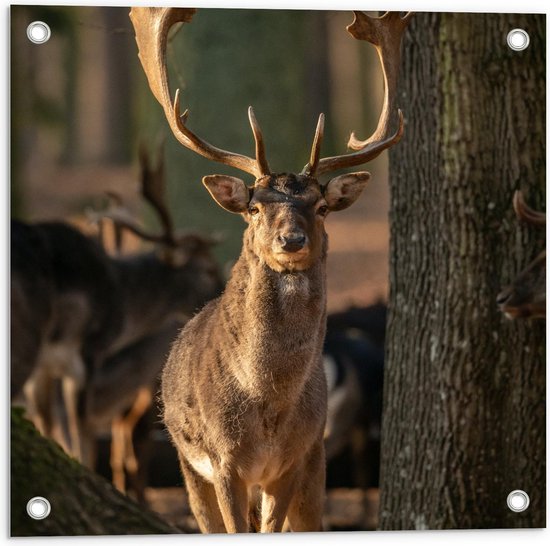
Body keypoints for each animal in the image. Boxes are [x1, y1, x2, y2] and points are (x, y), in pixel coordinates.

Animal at [132, 7, 412, 532]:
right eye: (255, 207)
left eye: (321, 207)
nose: (292, 240)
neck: (267, 405)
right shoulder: (223, 463)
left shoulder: (292, 462)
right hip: (186, 460)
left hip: (315, 463)